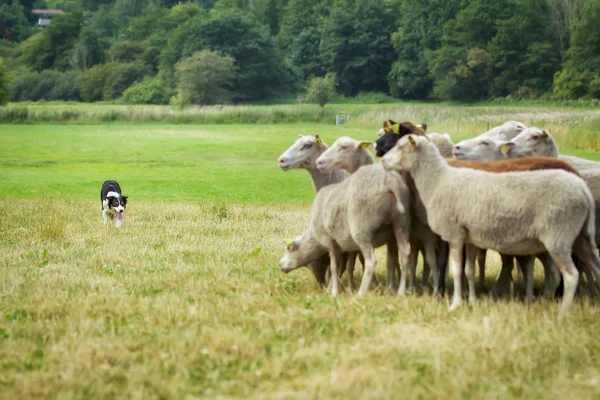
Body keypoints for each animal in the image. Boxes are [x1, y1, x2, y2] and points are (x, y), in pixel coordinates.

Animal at [380, 136, 600, 314]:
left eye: (400, 146)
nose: (382, 161)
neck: (438, 181)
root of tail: (583, 189)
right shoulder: (470, 237)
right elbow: (469, 270)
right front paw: (472, 301)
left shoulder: (455, 234)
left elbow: (456, 270)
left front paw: (455, 304)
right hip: (581, 236)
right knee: (594, 266)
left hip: (559, 236)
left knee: (571, 275)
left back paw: (562, 312)